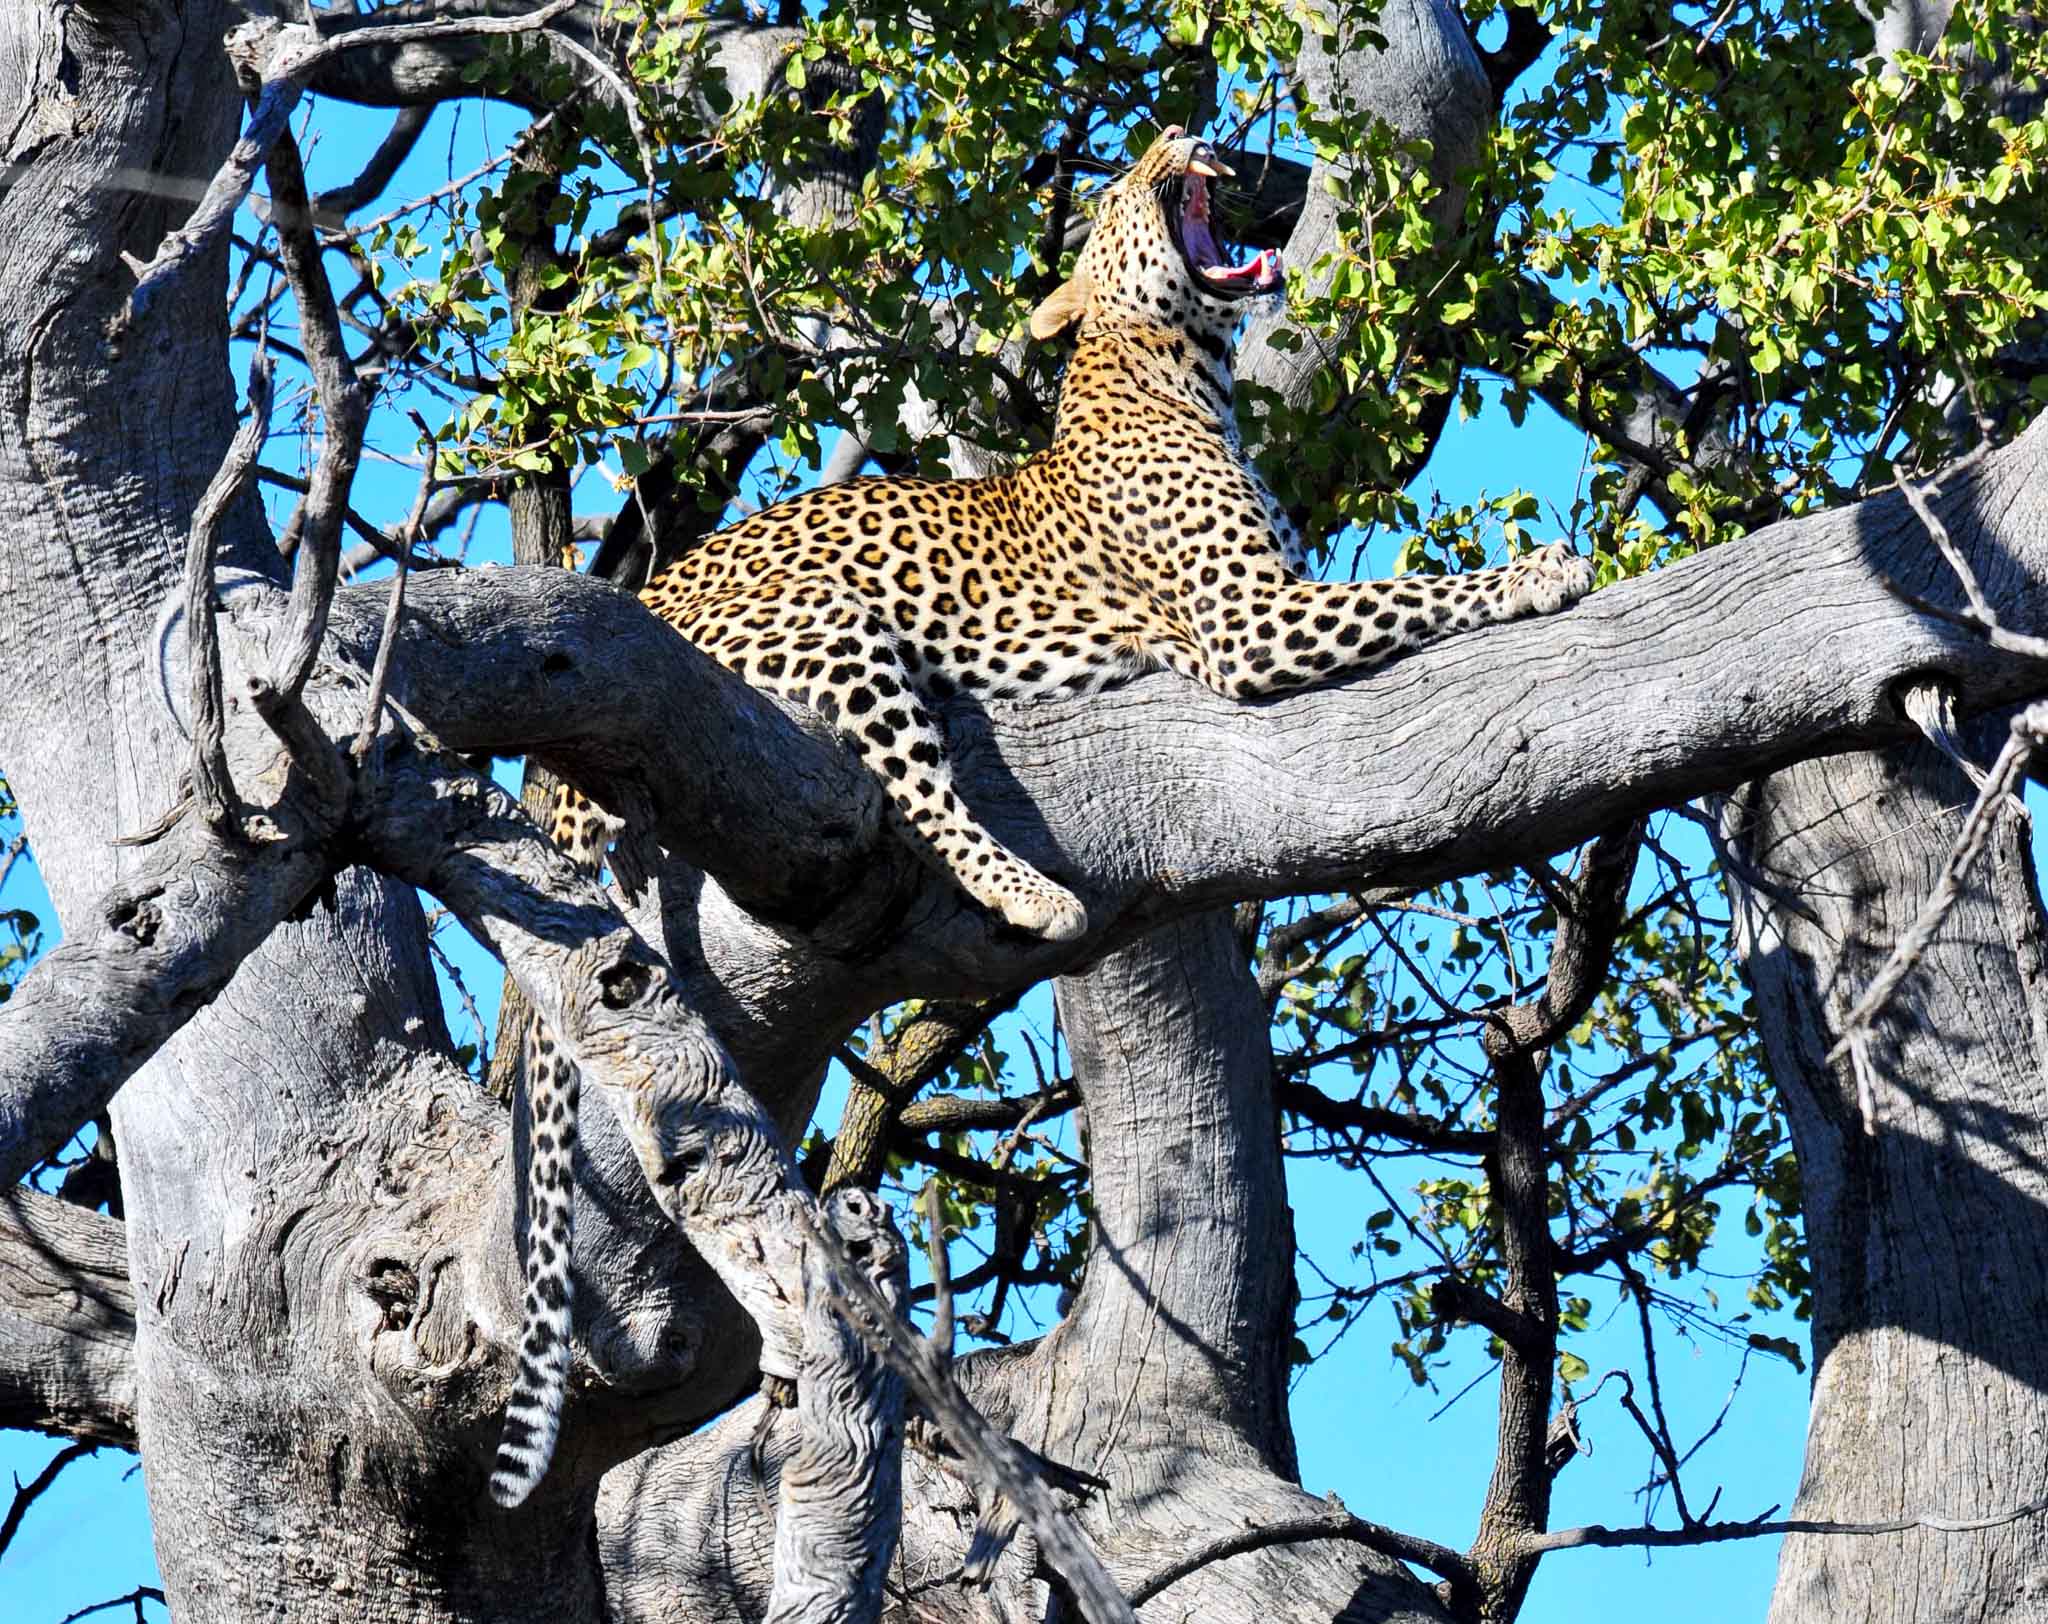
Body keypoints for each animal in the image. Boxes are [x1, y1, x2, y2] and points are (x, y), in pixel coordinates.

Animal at [487, 128, 1596, 1507]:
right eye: (1129, 183)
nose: (1181, 133)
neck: (1182, 371)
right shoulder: (1251, 624)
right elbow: (1420, 588)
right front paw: (1544, 571)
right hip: (838, 630)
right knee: (908, 790)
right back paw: (1037, 892)